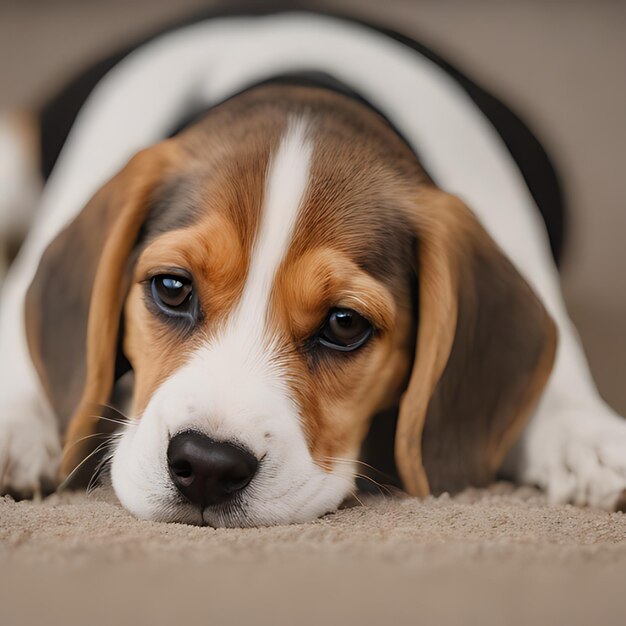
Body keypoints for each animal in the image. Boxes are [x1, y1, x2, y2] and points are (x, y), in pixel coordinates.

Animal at [1, 7, 624, 524]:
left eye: (345, 325)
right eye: (172, 288)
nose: (206, 466)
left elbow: (561, 374)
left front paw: (587, 437)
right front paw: (15, 425)